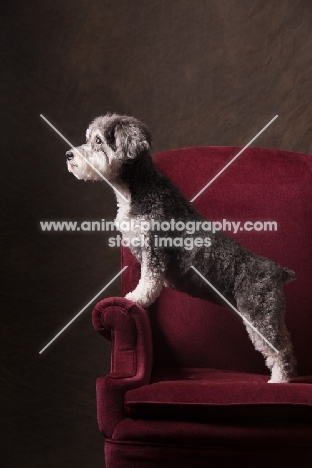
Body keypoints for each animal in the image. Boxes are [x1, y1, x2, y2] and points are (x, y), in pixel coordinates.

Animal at [66, 113, 298, 384]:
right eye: (88, 138)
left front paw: (137, 298)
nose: (69, 155)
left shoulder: (154, 247)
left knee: (279, 351)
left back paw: (279, 380)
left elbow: (149, 280)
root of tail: (277, 271)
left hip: (259, 315)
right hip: (272, 316)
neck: (137, 190)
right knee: (287, 345)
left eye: (98, 140)